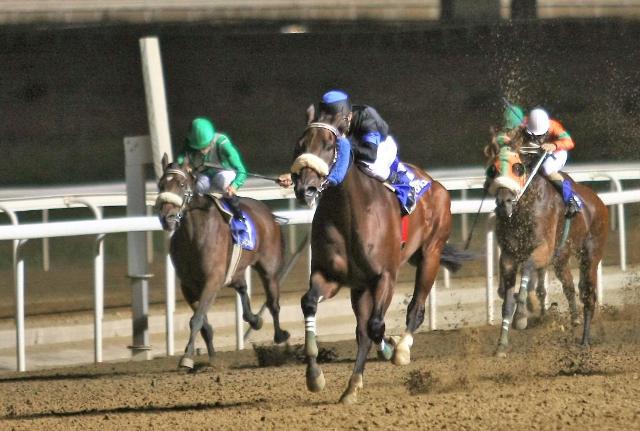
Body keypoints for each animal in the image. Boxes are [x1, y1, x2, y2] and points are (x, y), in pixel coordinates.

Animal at [156, 154, 290, 370]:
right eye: (161, 185)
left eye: (182, 184)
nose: (167, 217)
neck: (193, 236)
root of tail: (268, 213)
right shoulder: (188, 286)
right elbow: (203, 324)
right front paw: (211, 358)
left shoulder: (212, 280)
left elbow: (196, 319)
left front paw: (186, 358)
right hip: (235, 271)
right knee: (242, 287)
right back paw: (255, 320)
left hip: (268, 269)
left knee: (273, 303)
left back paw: (279, 336)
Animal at [290, 115, 464, 404]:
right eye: (300, 143)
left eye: (329, 145)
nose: (305, 188)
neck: (348, 211)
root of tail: (436, 185)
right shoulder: (332, 276)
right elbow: (310, 303)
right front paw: (314, 376)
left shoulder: (385, 277)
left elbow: (375, 326)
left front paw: (392, 348)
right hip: (360, 287)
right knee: (361, 330)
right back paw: (352, 386)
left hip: (431, 254)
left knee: (415, 309)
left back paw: (402, 349)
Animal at [488, 139, 608, 358]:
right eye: (493, 169)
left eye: (518, 168)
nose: (504, 202)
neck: (523, 209)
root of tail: (599, 203)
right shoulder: (508, 256)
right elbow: (506, 303)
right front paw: (501, 345)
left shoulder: (543, 249)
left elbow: (528, 268)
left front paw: (522, 315)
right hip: (561, 257)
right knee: (569, 284)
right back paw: (574, 319)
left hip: (591, 253)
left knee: (588, 295)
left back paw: (585, 341)